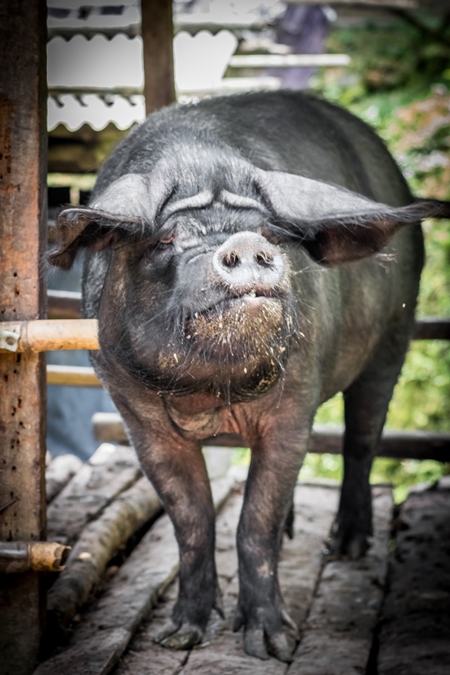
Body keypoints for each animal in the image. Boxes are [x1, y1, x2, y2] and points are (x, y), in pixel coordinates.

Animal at [50, 92, 450, 664]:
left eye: (270, 235)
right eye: (166, 238)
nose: (243, 244)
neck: (210, 391)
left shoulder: (294, 406)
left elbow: (254, 521)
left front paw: (273, 645)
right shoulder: (137, 417)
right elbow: (192, 520)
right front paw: (179, 636)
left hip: (396, 333)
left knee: (361, 440)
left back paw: (346, 548)